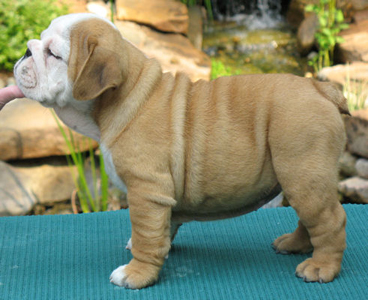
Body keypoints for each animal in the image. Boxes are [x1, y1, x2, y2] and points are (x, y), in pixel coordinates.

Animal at [0, 12, 350, 290]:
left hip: (302, 172)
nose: (25, 50)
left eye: (52, 54)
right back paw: (295, 244)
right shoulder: (159, 197)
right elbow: (159, 230)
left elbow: (145, 235)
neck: (123, 95)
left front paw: (137, 274)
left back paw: (321, 267)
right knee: (311, 218)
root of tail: (321, 88)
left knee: (331, 220)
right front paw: (160, 248)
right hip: (302, 177)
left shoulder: (146, 191)